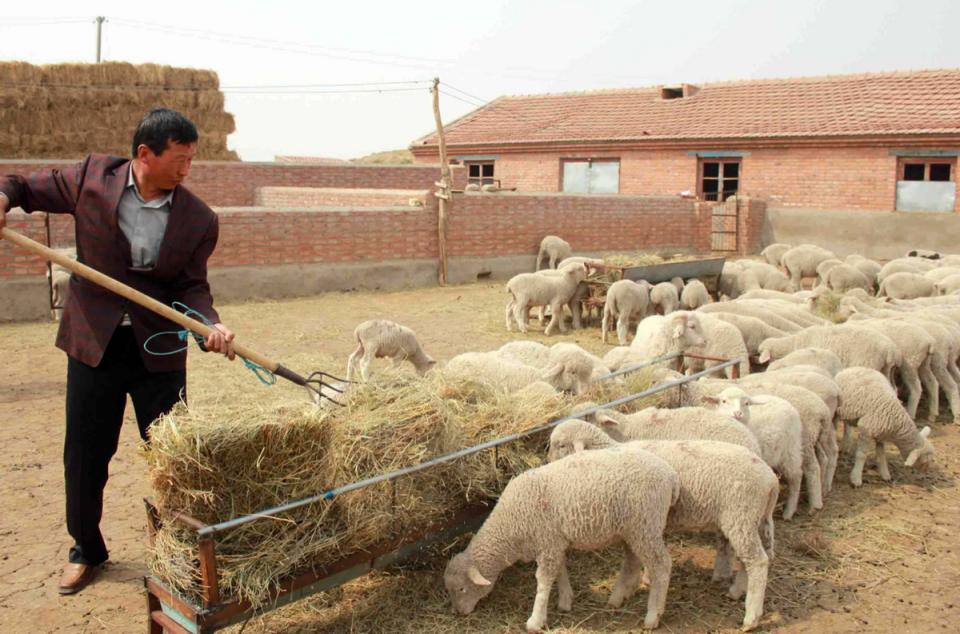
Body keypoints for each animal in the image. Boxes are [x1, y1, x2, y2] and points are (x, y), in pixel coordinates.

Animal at [442, 442, 676, 628]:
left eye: (461, 589)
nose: (457, 613)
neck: (510, 524)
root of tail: (669, 474)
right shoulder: (553, 542)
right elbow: (560, 571)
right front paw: (565, 600)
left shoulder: (547, 542)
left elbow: (543, 581)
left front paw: (535, 620)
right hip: (633, 530)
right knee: (632, 561)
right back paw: (617, 598)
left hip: (646, 526)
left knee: (662, 566)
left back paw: (653, 616)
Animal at [548, 420, 780, 628]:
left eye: (560, 445)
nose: (547, 464)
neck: (609, 450)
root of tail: (771, 479)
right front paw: (635, 585)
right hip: (758, 519)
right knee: (760, 556)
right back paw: (738, 590)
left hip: (740, 515)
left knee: (757, 561)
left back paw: (751, 617)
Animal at [708, 386, 808, 520]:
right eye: (723, 401)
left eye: (746, 403)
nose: (737, 413)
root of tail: (782, 400)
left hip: (790, 449)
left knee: (796, 476)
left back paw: (789, 511)